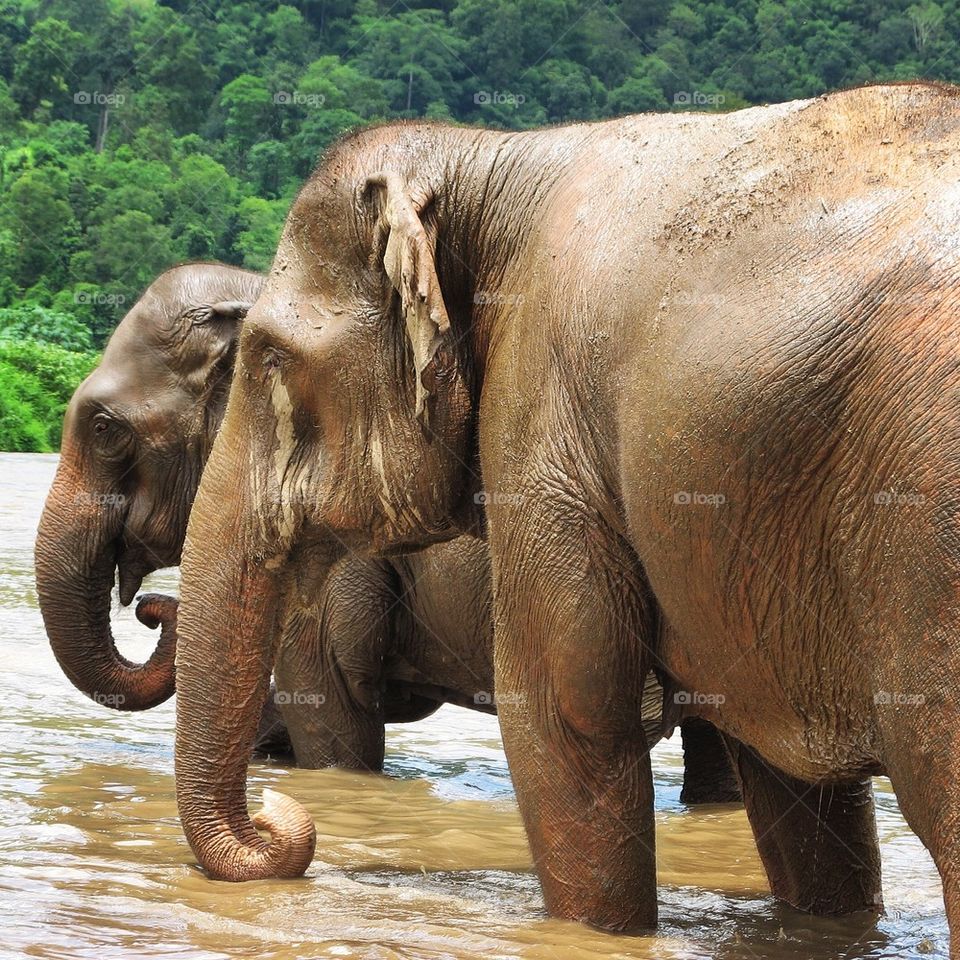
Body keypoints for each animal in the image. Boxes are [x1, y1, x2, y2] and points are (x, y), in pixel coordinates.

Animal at [169, 84, 960, 952]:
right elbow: (793, 792)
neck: (490, 157)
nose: (280, 817)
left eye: (272, 359)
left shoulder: (541, 418)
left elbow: (565, 710)